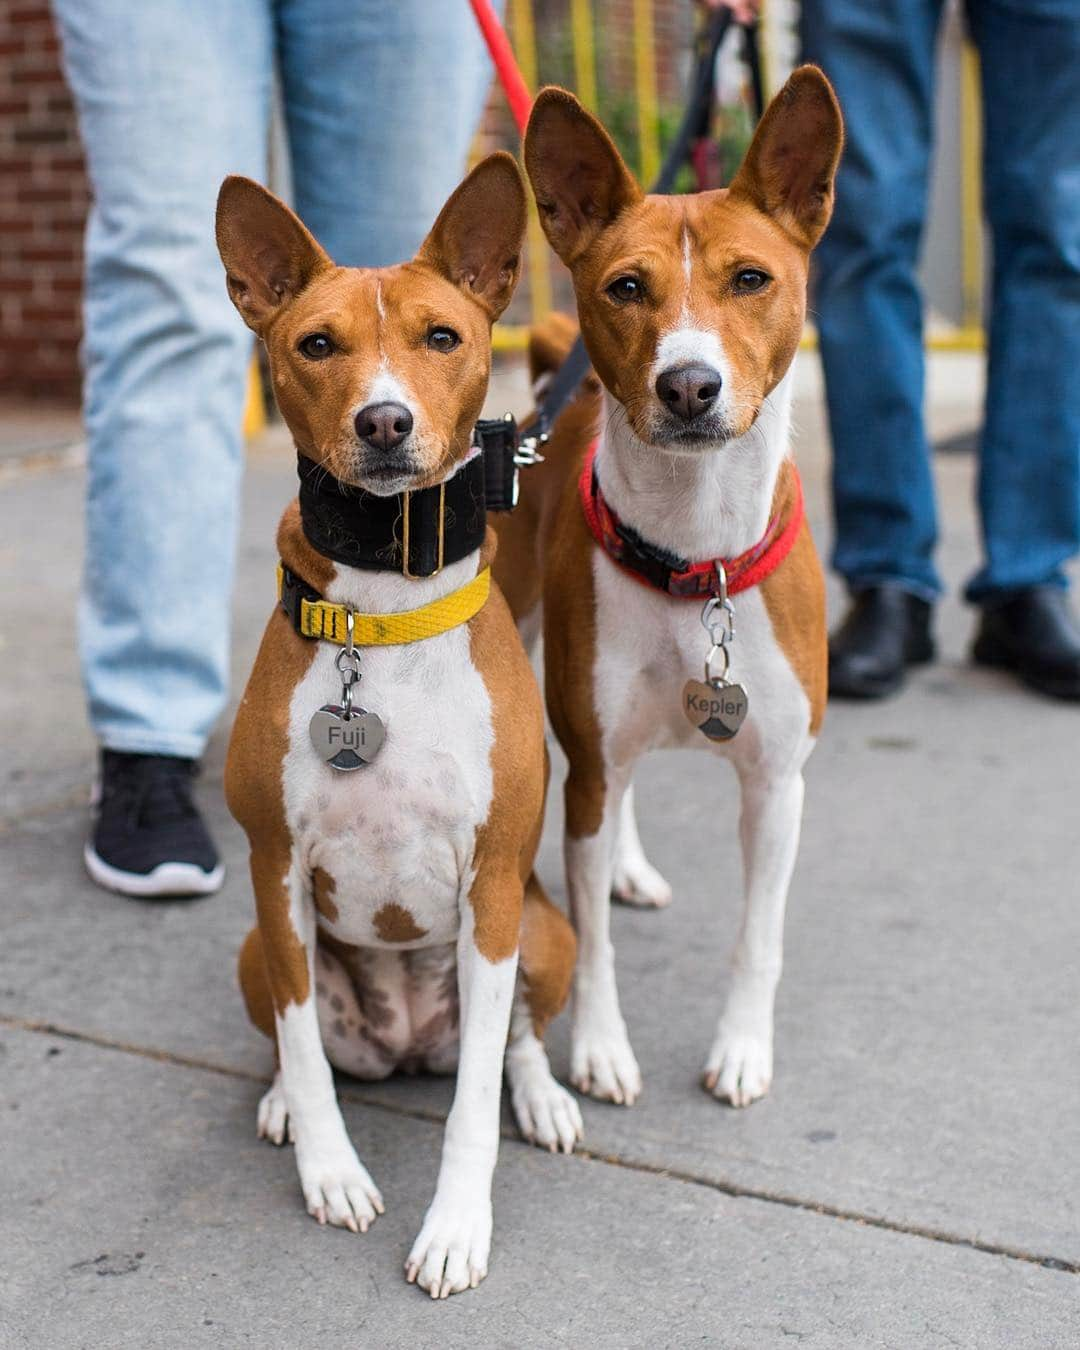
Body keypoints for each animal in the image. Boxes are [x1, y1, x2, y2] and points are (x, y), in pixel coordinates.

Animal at [213, 153, 583, 1301]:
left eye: (443, 336)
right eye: (316, 345)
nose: (383, 422)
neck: (382, 606)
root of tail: (408, 1040)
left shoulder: (497, 885)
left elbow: (472, 1109)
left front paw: (457, 1226)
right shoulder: (276, 873)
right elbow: (300, 1047)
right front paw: (328, 1163)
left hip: (544, 932)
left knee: (513, 1041)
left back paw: (543, 1094)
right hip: (255, 944)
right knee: (302, 1044)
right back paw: (285, 1105)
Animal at [496, 65, 842, 1107]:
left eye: (751, 279)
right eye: (626, 287)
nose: (689, 384)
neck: (699, 559)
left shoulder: (777, 784)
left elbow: (758, 939)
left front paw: (742, 1049)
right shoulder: (592, 760)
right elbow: (592, 942)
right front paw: (599, 1048)